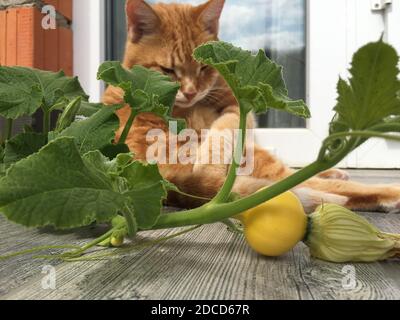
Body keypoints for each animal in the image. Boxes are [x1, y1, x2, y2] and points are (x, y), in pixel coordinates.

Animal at [103, 0, 400, 215]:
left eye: (204, 67)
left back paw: (337, 171)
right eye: (167, 70)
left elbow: (225, 126)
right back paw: (389, 194)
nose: (190, 91)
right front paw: (209, 162)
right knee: (311, 183)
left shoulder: (237, 106)